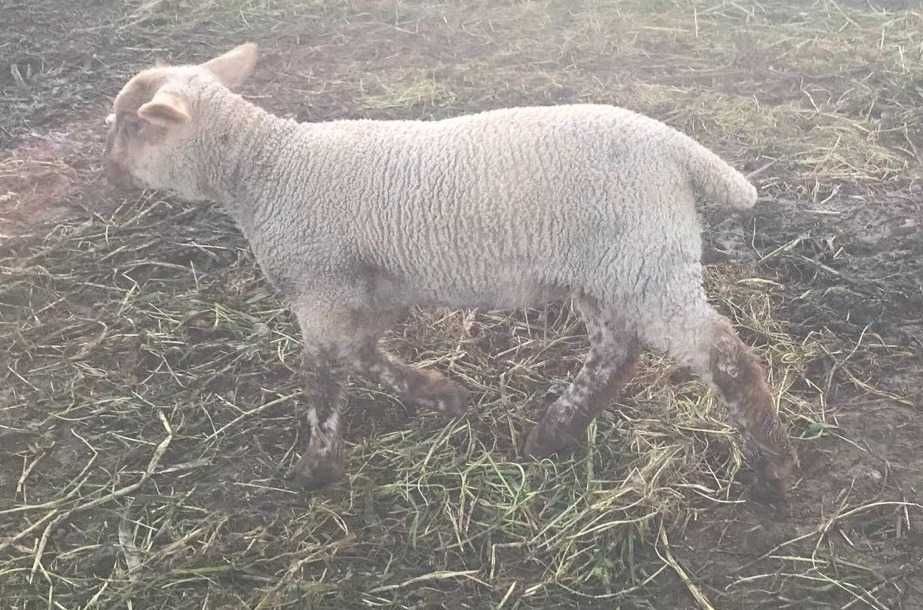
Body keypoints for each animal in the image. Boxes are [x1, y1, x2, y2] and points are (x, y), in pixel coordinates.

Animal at [99, 42, 796, 498]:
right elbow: (365, 355)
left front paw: (317, 471)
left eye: (132, 125)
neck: (264, 167)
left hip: (647, 265)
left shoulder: (321, 290)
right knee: (615, 352)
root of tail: (680, 150)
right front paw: (439, 394)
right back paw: (555, 432)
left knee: (726, 357)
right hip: (608, 270)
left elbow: (323, 382)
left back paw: (774, 467)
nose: (106, 172)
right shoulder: (370, 287)